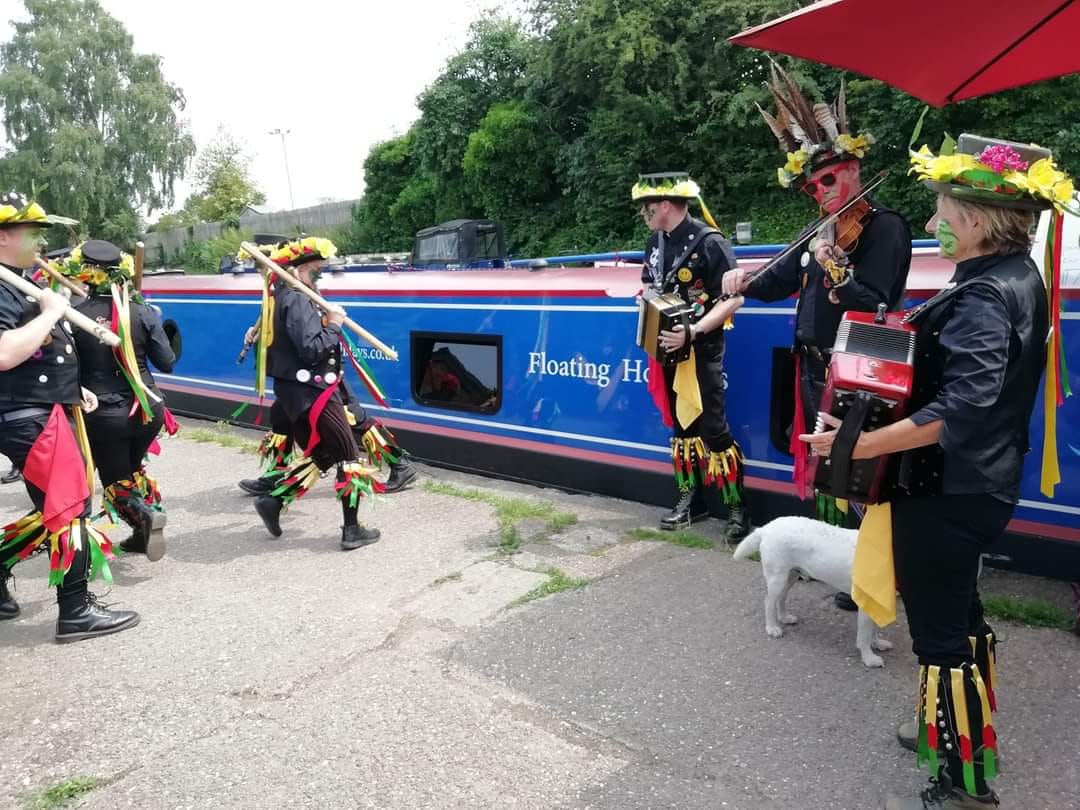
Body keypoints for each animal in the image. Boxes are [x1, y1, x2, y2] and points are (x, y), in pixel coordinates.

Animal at [734, 516, 894, 669]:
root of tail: (766, 528)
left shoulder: (877, 600)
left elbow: (874, 628)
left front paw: (877, 643)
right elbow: (865, 634)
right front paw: (869, 658)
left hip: (790, 576)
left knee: (781, 598)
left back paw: (784, 617)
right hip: (777, 578)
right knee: (769, 602)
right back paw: (772, 627)